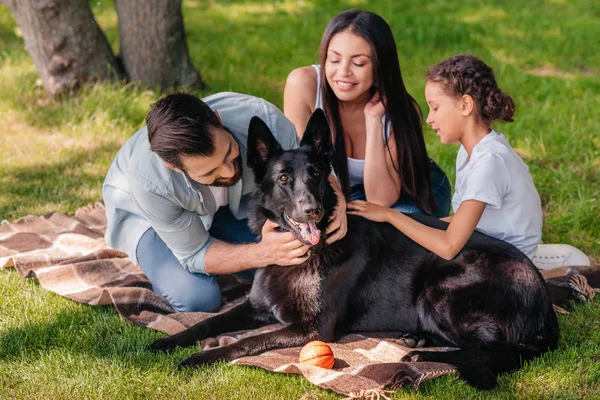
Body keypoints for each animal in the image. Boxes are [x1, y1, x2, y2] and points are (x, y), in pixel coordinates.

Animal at [150, 109, 556, 390]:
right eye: (284, 178)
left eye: (316, 174)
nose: (312, 210)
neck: (305, 255)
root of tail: (544, 298)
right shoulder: (253, 307)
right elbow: (207, 322)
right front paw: (168, 342)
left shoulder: (313, 327)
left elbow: (249, 341)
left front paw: (201, 358)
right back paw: (419, 338)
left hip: (441, 286)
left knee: (496, 350)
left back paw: (421, 354)